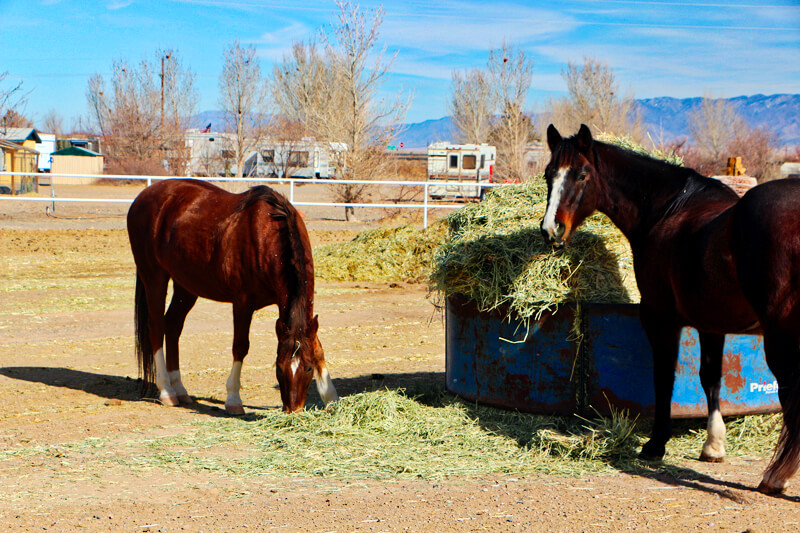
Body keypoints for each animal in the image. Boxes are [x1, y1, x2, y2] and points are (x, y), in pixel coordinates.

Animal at [126, 178, 339, 414]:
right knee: (156, 328)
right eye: (279, 368)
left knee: (172, 325)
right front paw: (233, 399)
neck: (268, 236)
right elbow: (240, 346)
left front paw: (331, 398)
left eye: (309, 368)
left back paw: (180, 389)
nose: (293, 410)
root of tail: (143, 196)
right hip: (154, 276)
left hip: (186, 285)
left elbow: (318, 348)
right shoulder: (242, 304)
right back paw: (167, 391)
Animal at [541, 124, 800, 495]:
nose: (552, 230)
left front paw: (655, 444)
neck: (668, 210)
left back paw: (776, 476)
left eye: (581, 174)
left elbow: (664, 379)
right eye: (549, 174)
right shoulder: (711, 323)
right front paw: (713, 446)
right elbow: (711, 378)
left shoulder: (661, 320)